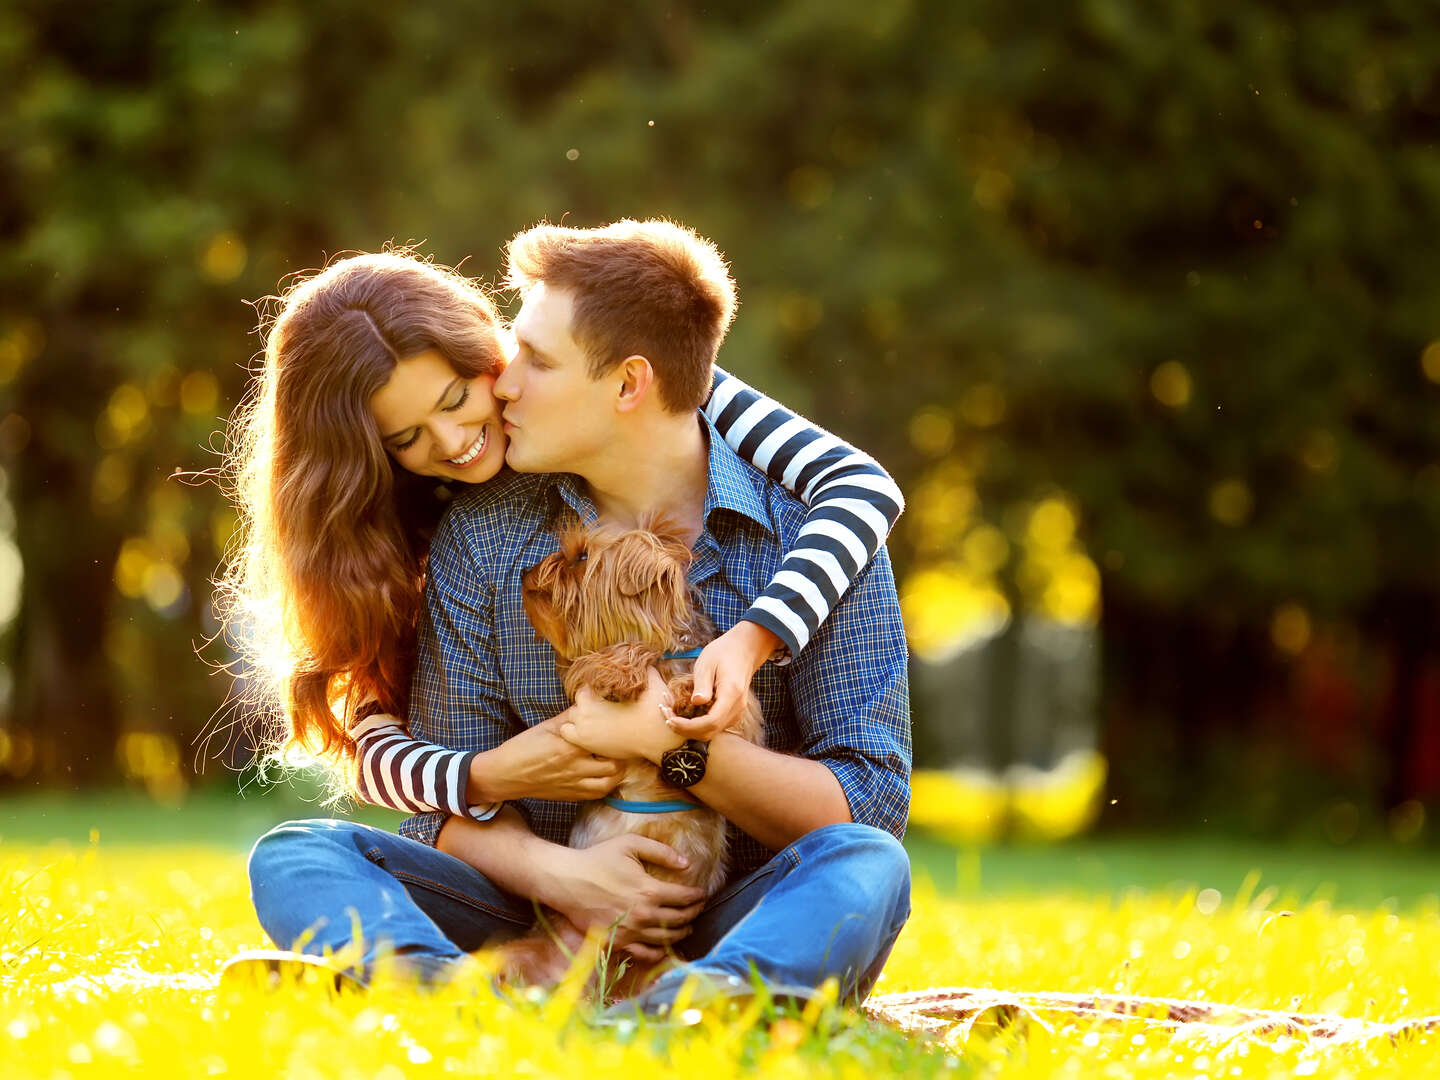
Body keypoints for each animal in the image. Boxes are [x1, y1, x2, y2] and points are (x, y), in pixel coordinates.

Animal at [495, 521, 766, 996]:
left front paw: (689, 696)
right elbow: (602, 659)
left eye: (582, 557)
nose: (528, 572)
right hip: (521, 955)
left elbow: (726, 709)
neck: (667, 654)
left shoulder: (746, 720)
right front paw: (619, 670)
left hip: (669, 967)